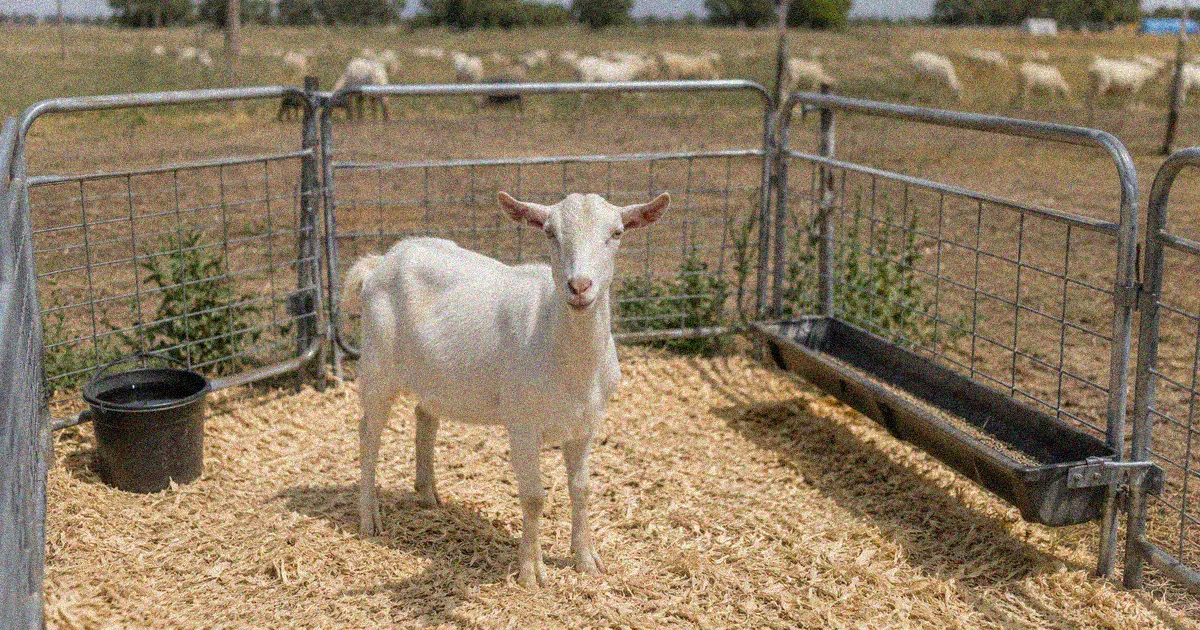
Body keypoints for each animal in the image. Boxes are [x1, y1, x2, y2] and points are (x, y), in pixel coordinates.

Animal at [342, 191, 671, 588]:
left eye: (617, 233)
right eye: (549, 233)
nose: (579, 286)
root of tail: (381, 261)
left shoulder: (587, 424)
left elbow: (581, 489)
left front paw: (587, 560)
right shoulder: (522, 423)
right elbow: (533, 497)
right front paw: (532, 572)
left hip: (436, 375)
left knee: (425, 416)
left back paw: (428, 494)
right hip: (377, 362)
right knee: (368, 434)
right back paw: (369, 518)